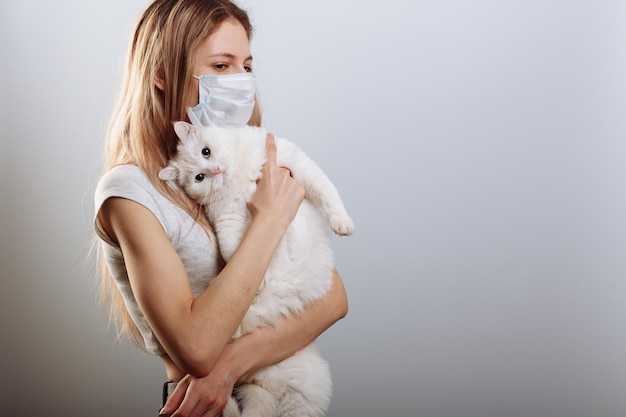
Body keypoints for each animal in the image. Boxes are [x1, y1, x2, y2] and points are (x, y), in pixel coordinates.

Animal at [158, 121, 354, 416]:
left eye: (206, 152)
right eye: (199, 178)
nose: (217, 170)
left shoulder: (298, 165)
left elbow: (328, 193)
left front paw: (342, 224)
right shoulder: (226, 217)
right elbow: (234, 248)